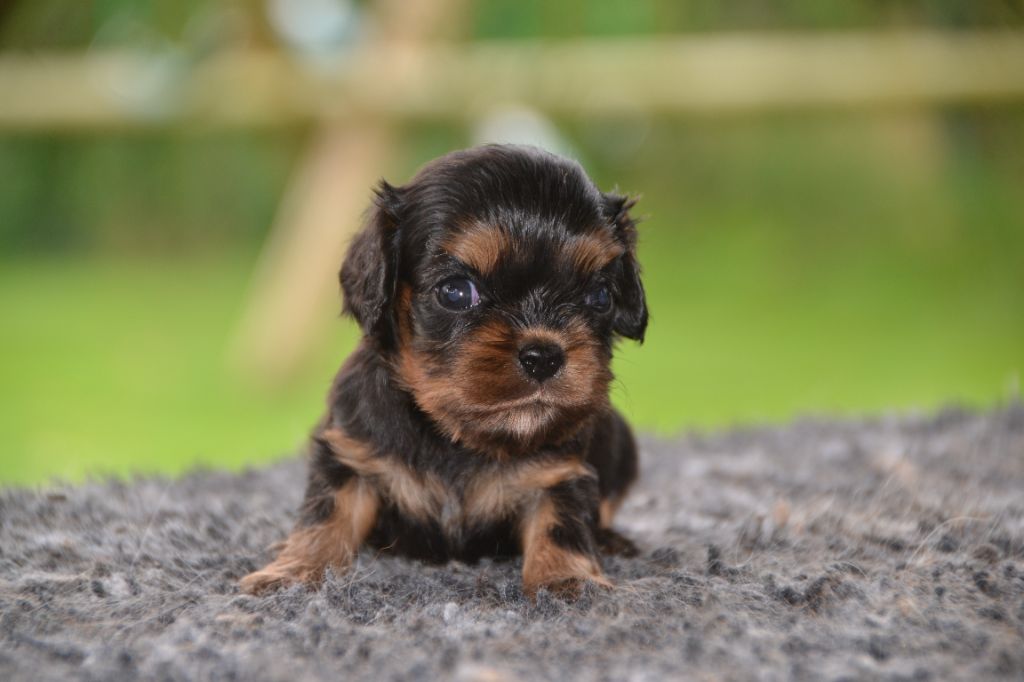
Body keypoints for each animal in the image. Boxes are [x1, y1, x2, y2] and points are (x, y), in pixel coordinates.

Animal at [239, 142, 647, 593]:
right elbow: (327, 512)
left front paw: (566, 580)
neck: (457, 438)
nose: (544, 356)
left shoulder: (559, 472)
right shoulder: (349, 453)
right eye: (455, 292)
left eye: (600, 296)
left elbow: (561, 524)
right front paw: (294, 571)